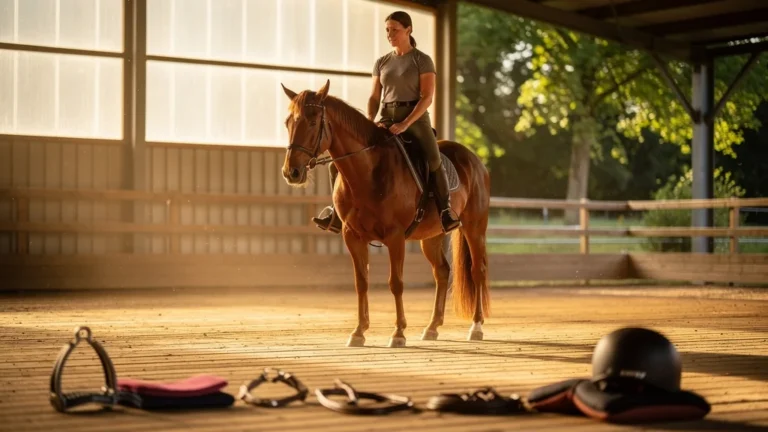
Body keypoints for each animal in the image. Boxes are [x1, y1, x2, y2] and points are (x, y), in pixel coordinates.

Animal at [280, 79, 491, 348]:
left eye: (313, 121)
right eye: (288, 122)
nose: (292, 172)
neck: (368, 171)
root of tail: (474, 159)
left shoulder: (395, 236)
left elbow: (396, 283)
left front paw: (398, 333)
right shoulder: (352, 236)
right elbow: (361, 282)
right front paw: (359, 332)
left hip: (474, 228)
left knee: (477, 272)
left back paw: (476, 326)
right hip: (431, 237)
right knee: (442, 272)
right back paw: (432, 327)